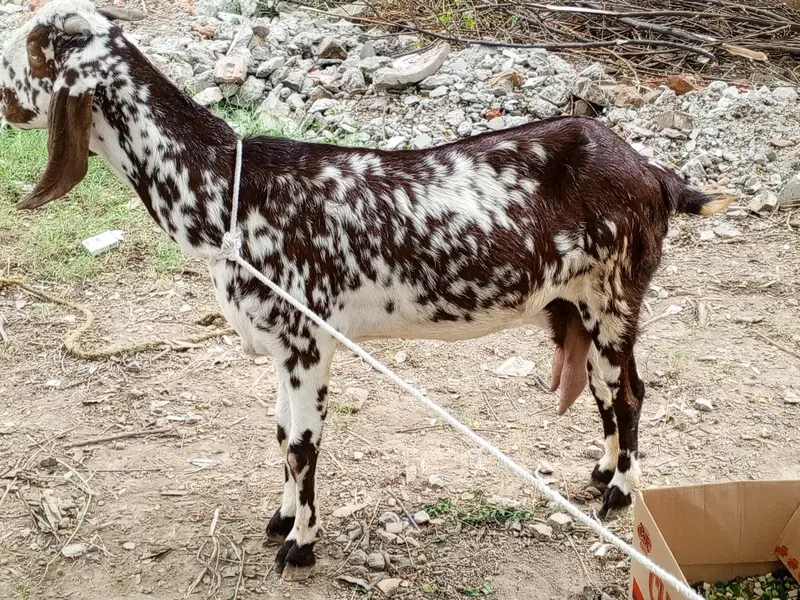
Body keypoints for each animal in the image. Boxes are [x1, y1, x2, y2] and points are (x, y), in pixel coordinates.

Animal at [0, 0, 732, 581]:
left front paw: (300, 546)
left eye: (29, 53)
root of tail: (655, 174)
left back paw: (620, 495)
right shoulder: (281, 345)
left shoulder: (306, 341)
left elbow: (302, 444)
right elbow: (279, 435)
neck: (226, 189)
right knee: (615, 393)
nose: (3, 99)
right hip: (580, 304)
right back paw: (603, 474)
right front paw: (281, 519)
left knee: (628, 394)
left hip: (613, 296)